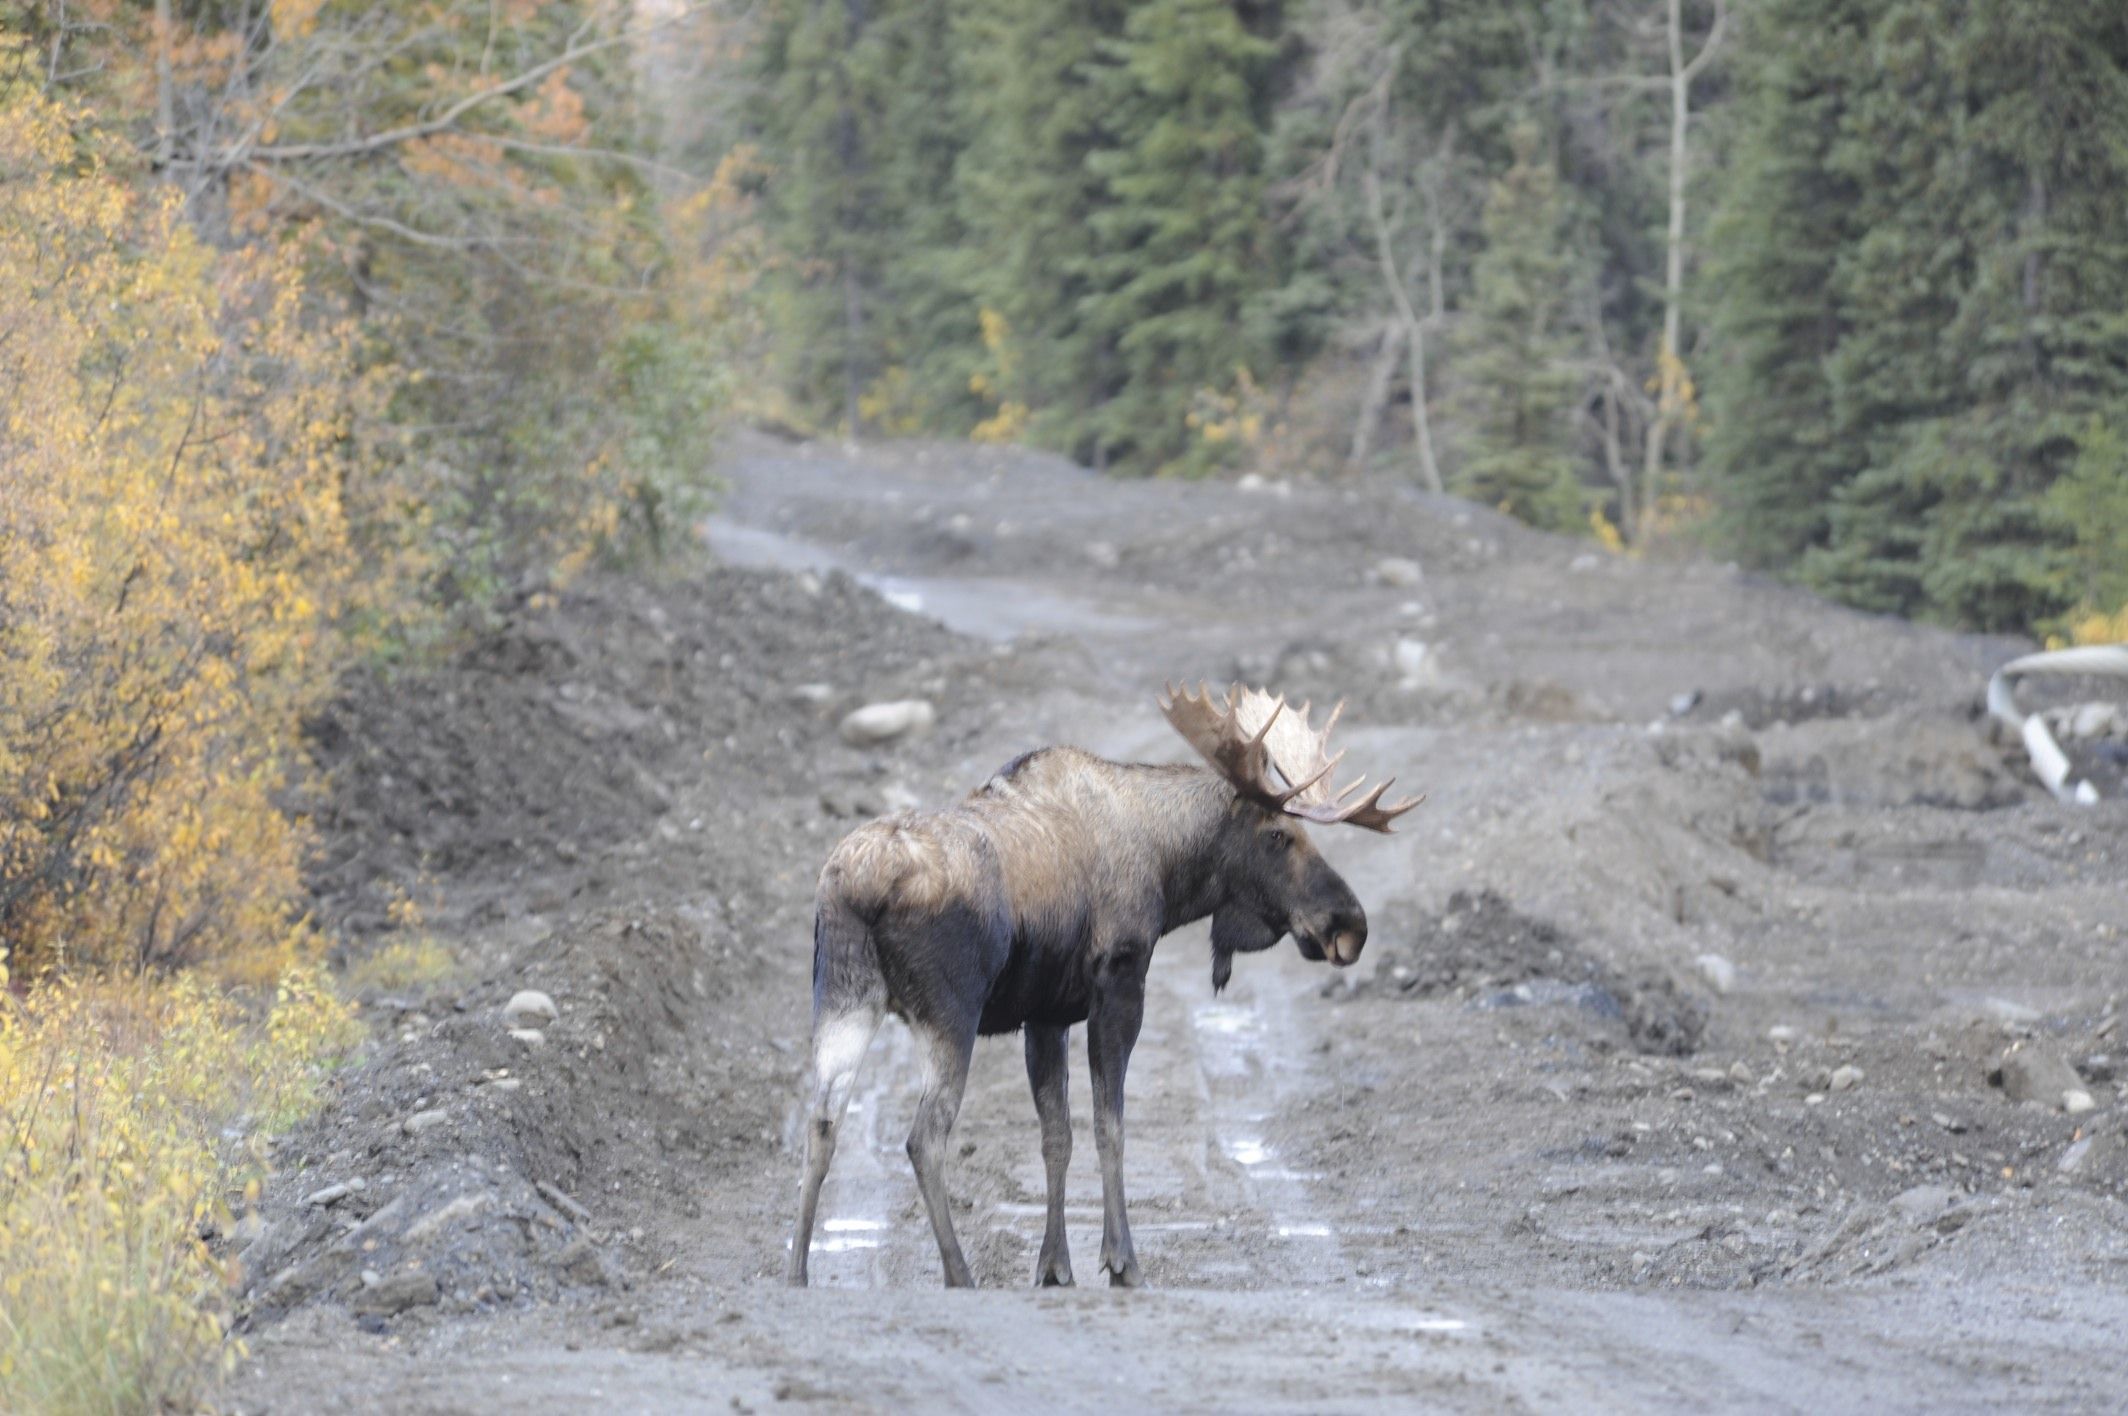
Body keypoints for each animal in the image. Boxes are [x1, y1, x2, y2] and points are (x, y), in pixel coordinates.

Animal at [783, 681, 1412, 1286]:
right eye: (1279, 835)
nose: (1349, 924)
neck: (1168, 871)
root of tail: (863, 884)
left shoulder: (1046, 1014)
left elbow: (1056, 1135)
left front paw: (1054, 1266)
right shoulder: (1119, 981)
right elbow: (1111, 1126)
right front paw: (1121, 1262)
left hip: (842, 996)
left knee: (821, 1121)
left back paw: (797, 1271)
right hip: (949, 1011)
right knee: (923, 1137)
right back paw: (959, 1274)